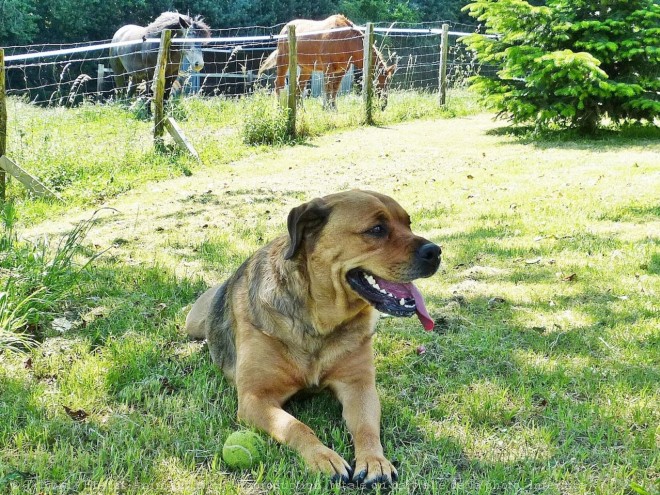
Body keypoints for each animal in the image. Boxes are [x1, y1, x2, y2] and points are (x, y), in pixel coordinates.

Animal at [186, 191, 440, 488]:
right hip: (193, 323)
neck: (319, 325)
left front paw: (374, 460)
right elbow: (296, 426)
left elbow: (366, 427)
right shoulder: (255, 398)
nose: (435, 251)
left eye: (408, 223)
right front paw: (323, 457)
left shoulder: (359, 386)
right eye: (377, 229)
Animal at [260, 14, 398, 109]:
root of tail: (284, 29)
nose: (384, 105)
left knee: (299, 87)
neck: (345, 41)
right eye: (380, 82)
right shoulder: (328, 68)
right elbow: (328, 89)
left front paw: (333, 108)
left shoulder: (341, 70)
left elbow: (334, 90)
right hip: (283, 62)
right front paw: (326, 108)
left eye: (389, 84)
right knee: (279, 84)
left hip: (306, 68)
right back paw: (279, 108)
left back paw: (301, 109)